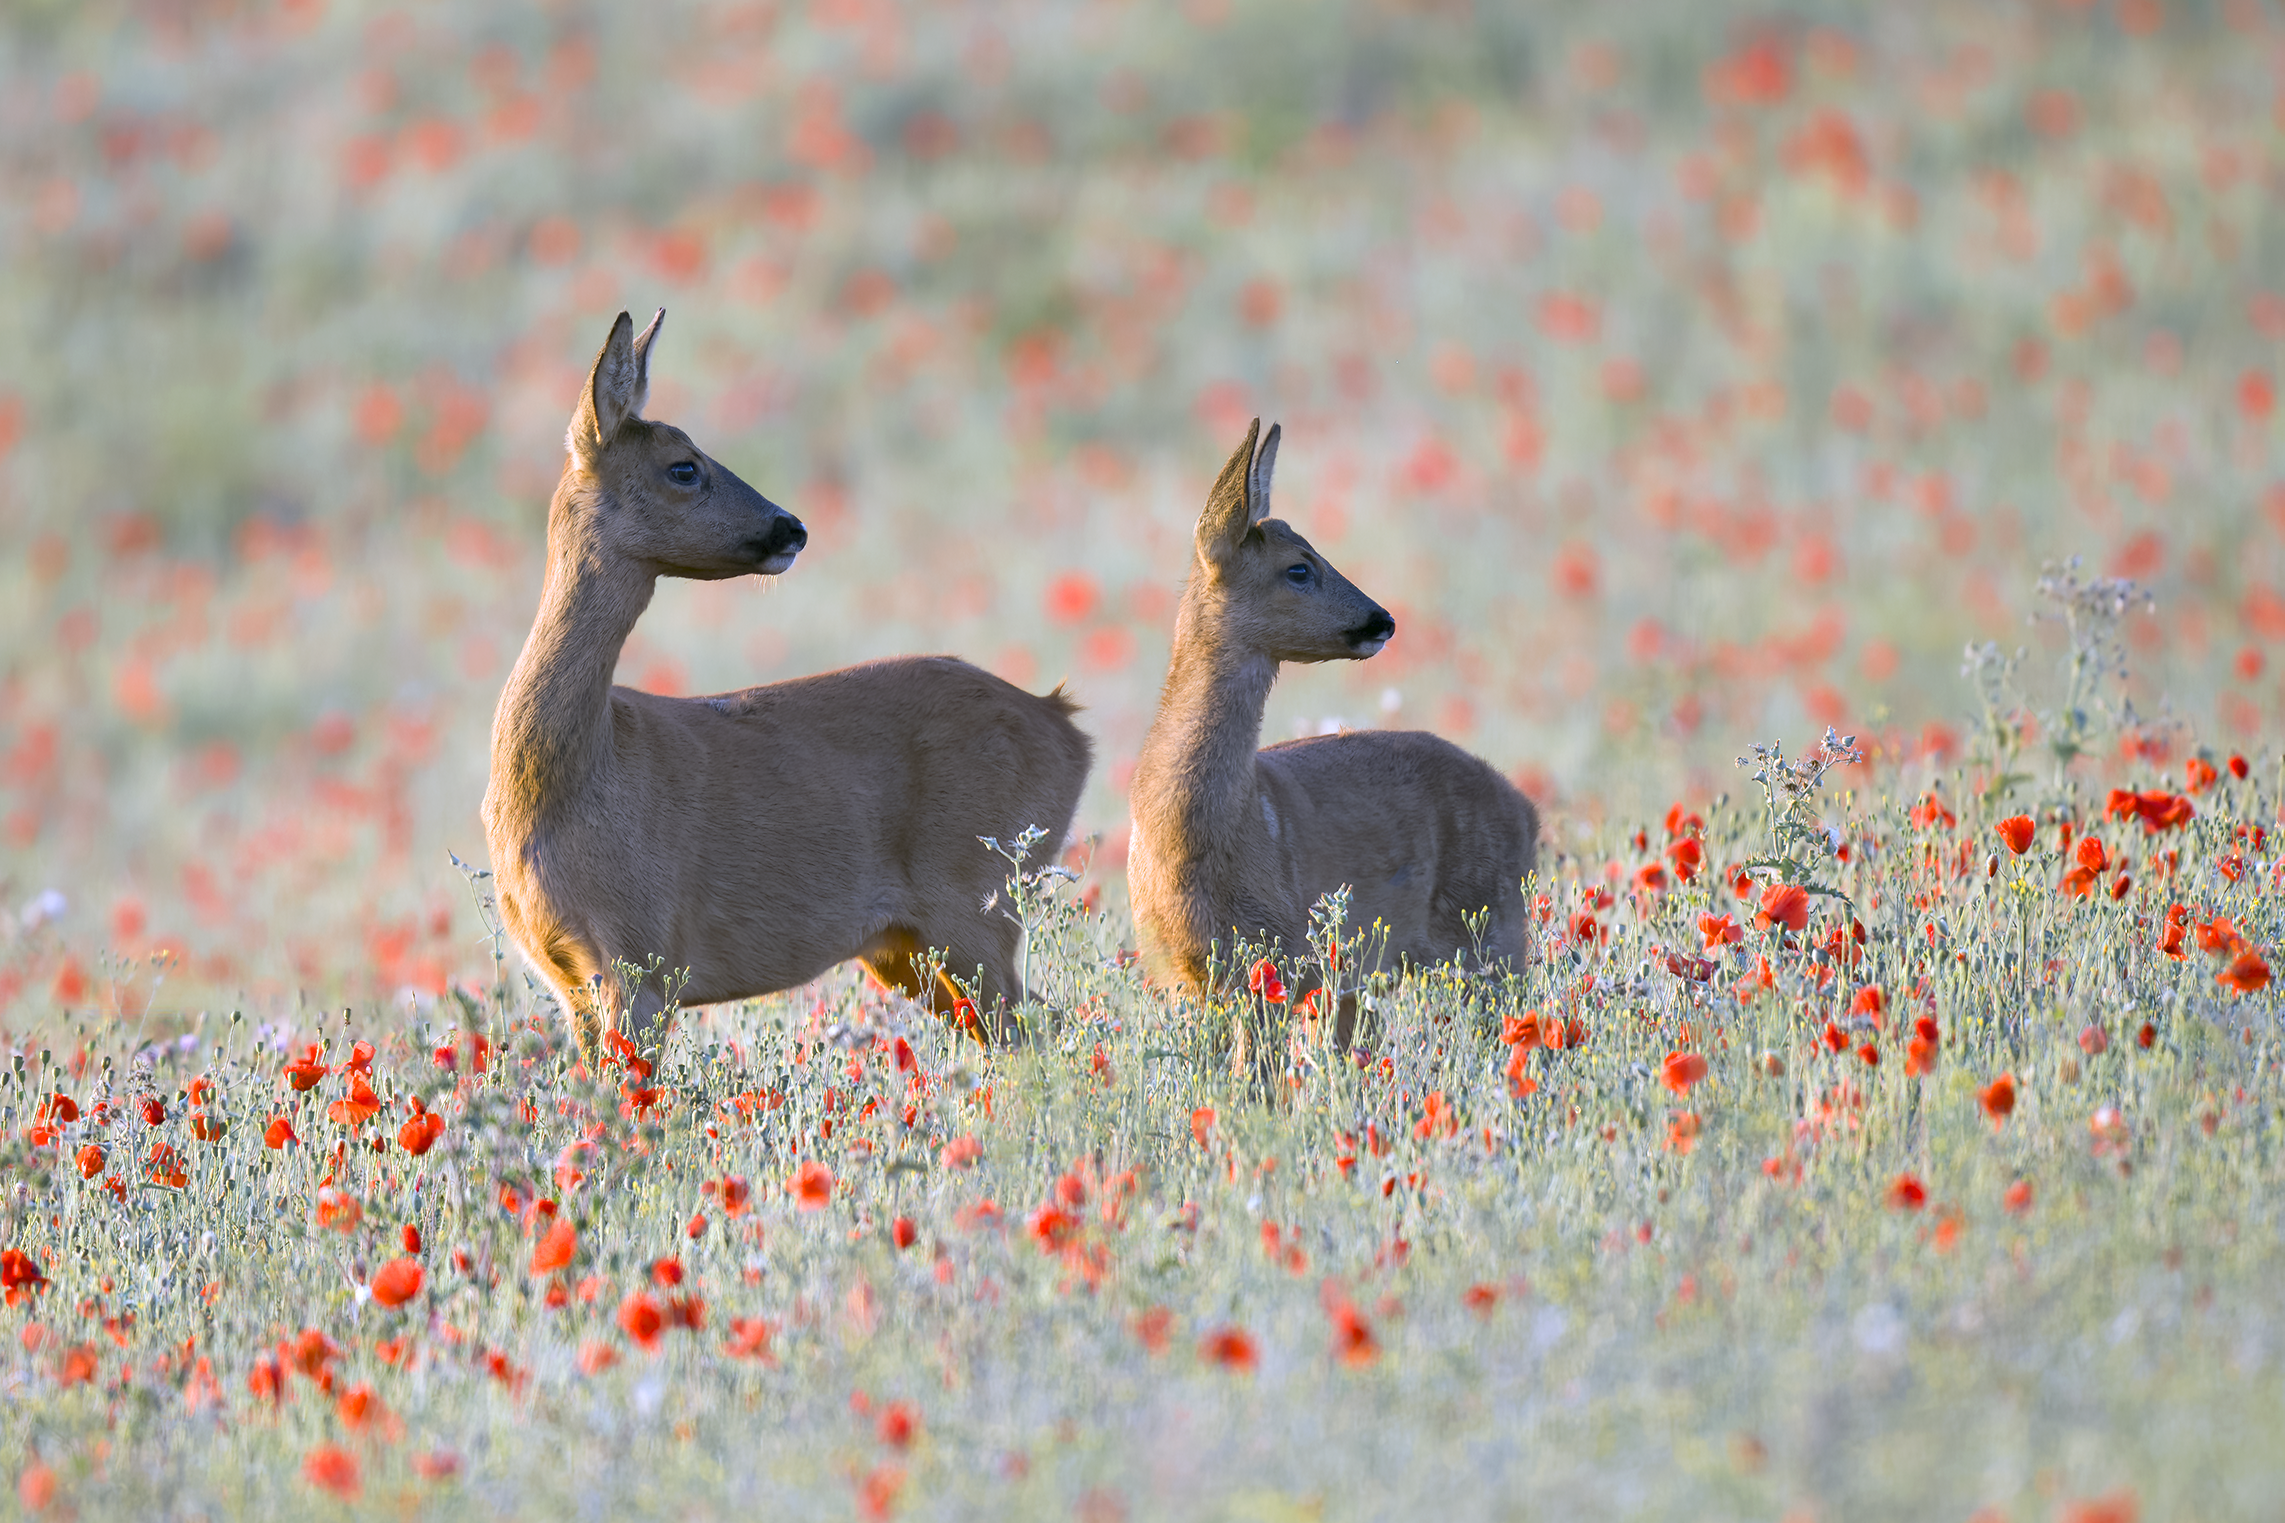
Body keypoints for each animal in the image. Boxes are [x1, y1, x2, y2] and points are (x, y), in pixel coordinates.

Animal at [481, 310, 1094, 1060]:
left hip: (979, 894)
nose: (792, 527)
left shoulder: (643, 955)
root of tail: (1067, 724)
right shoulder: (570, 977)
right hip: (908, 945)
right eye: (684, 466)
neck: (572, 778)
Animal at [1126, 418, 1538, 1072]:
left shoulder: (1274, 958)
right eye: (1300, 567)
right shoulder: (1181, 975)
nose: (1383, 619)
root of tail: (1528, 811)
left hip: (1491, 939)